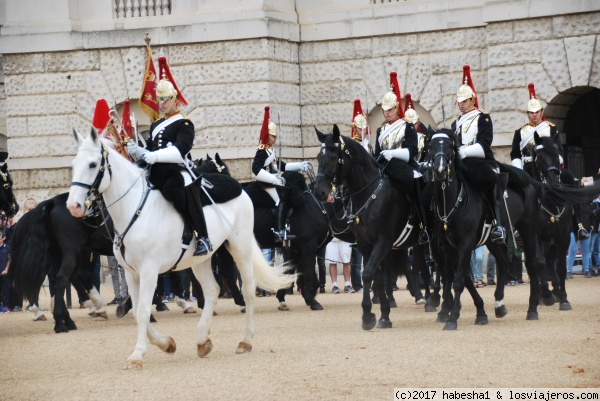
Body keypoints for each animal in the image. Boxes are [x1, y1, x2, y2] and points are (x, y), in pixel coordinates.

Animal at [66, 129, 296, 368]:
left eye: (93, 164)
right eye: (74, 164)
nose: (74, 206)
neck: (135, 210)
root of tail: (239, 187)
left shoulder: (149, 270)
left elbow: (143, 311)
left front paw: (137, 355)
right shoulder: (131, 273)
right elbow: (140, 311)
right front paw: (165, 343)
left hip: (239, 247)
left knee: (249, 288)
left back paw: (245, 340)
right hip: (201, 259)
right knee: (212, 290)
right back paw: (203, 340)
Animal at [314, 124, 432, 328]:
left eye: (332, 157)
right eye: (318, 157)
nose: (320, 192)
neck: (369, 193)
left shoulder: (383, 242)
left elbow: (369, 274)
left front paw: (368, 314)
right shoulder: (365, 244)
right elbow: (377, 276)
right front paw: (383, 314)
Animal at [426, 128, 544, 328]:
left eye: (450, 146)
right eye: (430, 146)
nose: (440, 171)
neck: (452, 202)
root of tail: (529, 182)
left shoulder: (465, 243)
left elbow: (458, 280)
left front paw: (452, 318)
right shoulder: (449, 247)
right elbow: (454, 277)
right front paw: (475, 312)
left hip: (528, 230)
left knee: (531, 264)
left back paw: (533, 308)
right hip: (491, 241)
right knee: (503, 263)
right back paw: (499, 305)